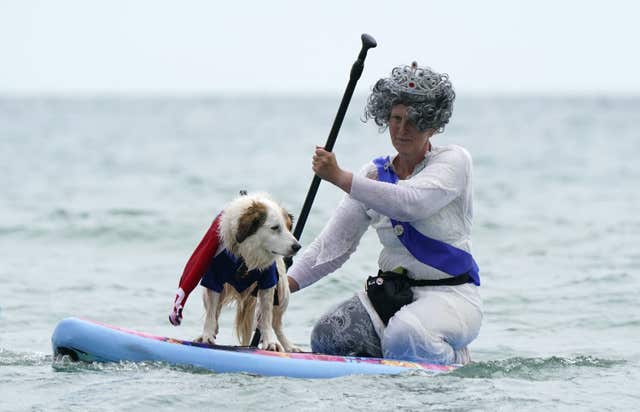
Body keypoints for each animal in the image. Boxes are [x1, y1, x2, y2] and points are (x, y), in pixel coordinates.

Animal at [188, 193, 302, 350]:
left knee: (276, 323)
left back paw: (288, 346)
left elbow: (267, 315)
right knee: (215, 310)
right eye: (275, 228)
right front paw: (207, 335)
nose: (297, 246)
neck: (247, 253)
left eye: (289, 227)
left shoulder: (268, 281)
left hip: (283, 291)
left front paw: (270, 342)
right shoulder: (213, 278)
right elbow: (211, 312)